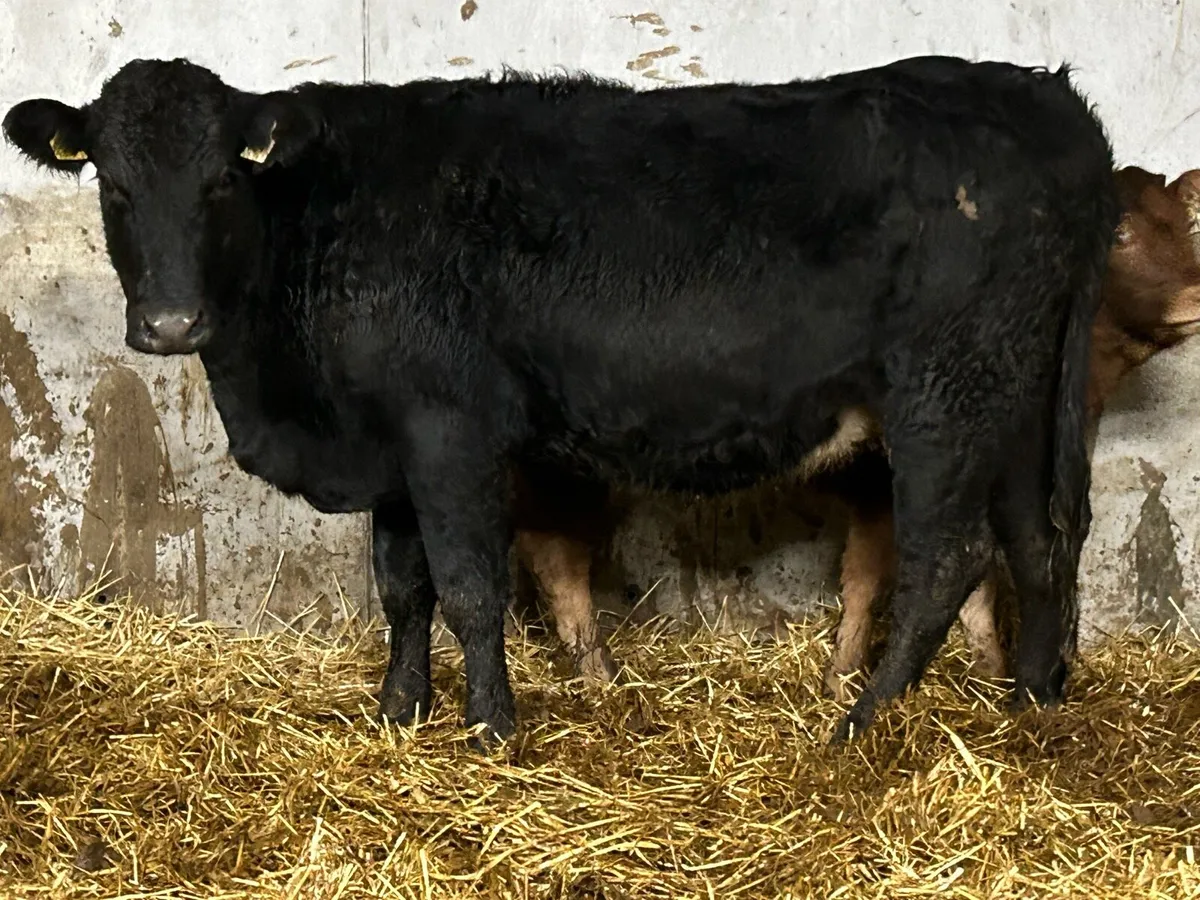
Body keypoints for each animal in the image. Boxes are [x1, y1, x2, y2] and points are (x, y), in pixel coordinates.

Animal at [3, 55, 1120, 748]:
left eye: (220, 183)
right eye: (111, 183)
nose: (171, 324)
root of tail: (1049, 103)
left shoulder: (449, 430)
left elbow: (468, 587)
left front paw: (490, 728)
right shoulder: (391, 447)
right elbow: (400, 589)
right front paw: (397, 714)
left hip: (946, 394)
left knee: (947, 562)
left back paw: (856, 727)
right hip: (1013, 398)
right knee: (1040, 540)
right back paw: (1031, 702)